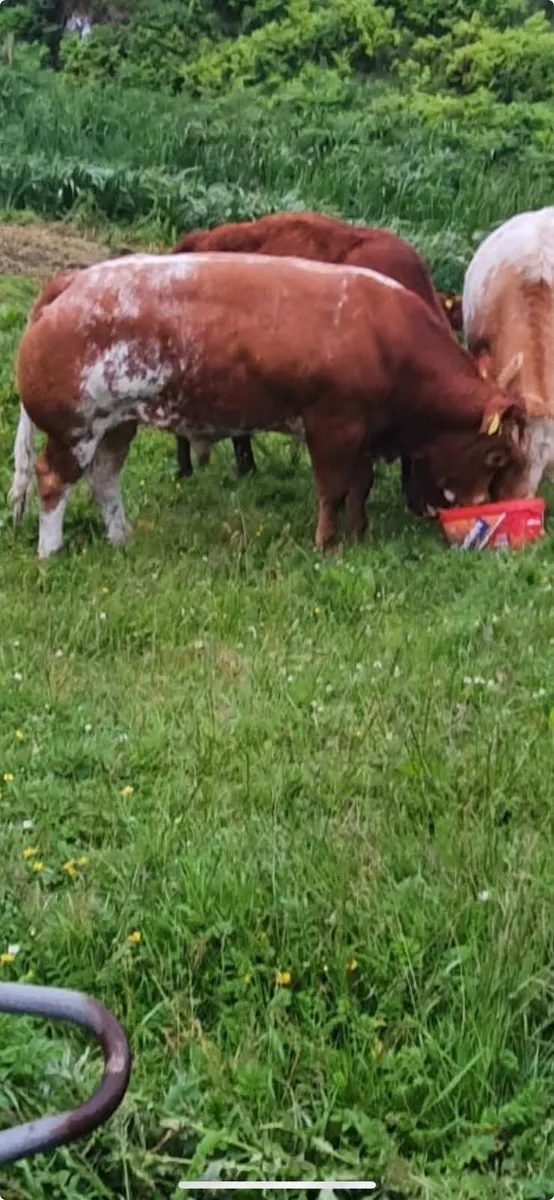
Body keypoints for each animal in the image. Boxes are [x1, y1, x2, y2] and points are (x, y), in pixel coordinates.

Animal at [9, 252, 528, 560]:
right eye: (496, 455)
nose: (485, 508)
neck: (388, 341)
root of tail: (73, 279)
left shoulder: (362, 433)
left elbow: (359, 487)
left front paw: (358, 534)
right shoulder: (332, 426)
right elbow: (332, 490)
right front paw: (326, 543)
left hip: (117, 423)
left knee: (104, 479)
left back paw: (121, 538)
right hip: (74, 428)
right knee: (53, 480)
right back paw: (51, 551)